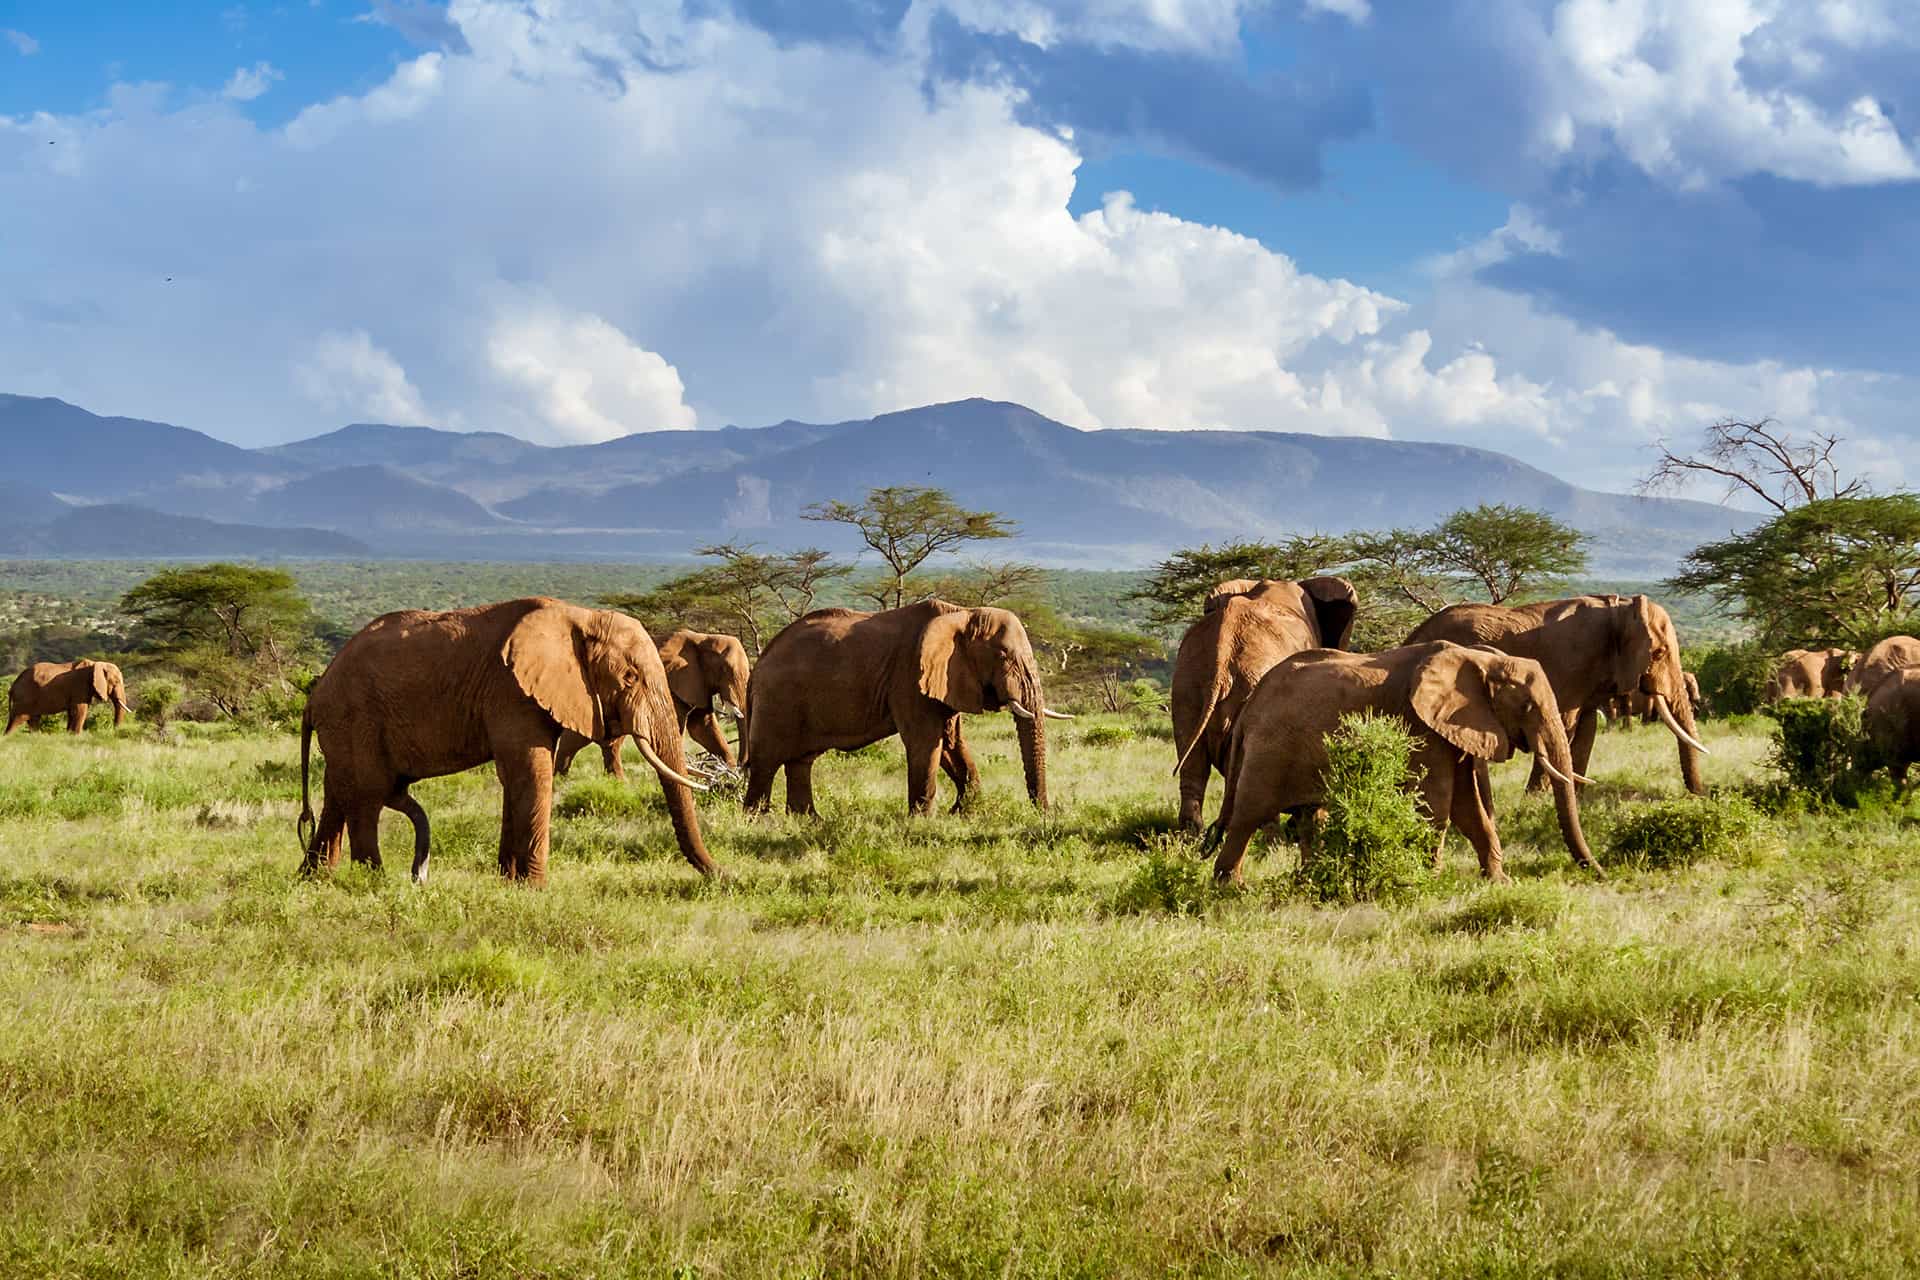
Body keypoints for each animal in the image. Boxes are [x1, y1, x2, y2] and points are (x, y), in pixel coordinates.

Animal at [297, 597, 718, 886]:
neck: (578, 616)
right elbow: (531, 773)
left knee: (339, 793)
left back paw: (315, 880)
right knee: (366, 795)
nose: (721, 875)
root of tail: (315, 694)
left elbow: (514, 778)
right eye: (630, 678)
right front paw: (535, 888)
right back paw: (373, 881)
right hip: (354, 716)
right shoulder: (511, 690)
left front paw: (509, 882)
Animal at [555, 629, 750, 779]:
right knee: (576, 739)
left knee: (611, 742)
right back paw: (561, 780)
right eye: (724, 669)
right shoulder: (672, 684)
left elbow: (702, 728)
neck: (702, 638)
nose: (742, 767)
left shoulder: (697, 684)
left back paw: (618, 783)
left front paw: (730, 773)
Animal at [742, 600, 1067, 816]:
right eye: (1002, 655)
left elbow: (951, 744)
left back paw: (808, 821)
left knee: (800, 761)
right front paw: (923, 821)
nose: (1044, 813)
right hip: (777, 700)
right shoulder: (910, 677)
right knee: (766, 761)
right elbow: (926, 742)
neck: (963, 613)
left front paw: (964, 813)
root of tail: (760, 661)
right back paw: (759, 821)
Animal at [1207, 641, 1598, 885]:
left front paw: (1500, 882)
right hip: (1270, 748)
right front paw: (1430, 880)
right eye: (1528, 706)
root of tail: (1249, 707)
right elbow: (1437, 803)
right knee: (1248, 816)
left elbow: (1468, 808)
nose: (1599, 873)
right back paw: (1231, 887)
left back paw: (1310, 880)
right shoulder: (1421, 725)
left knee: (1309, 818)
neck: (1479, 659)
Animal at [1407, 594, 1708, 796]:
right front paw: (1536, 798)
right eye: (1659, 653)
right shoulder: (1572, 665)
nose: (1699, 794)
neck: (1621, 608)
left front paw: (1577, 796)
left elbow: (1587, 728)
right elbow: (1566, 724)